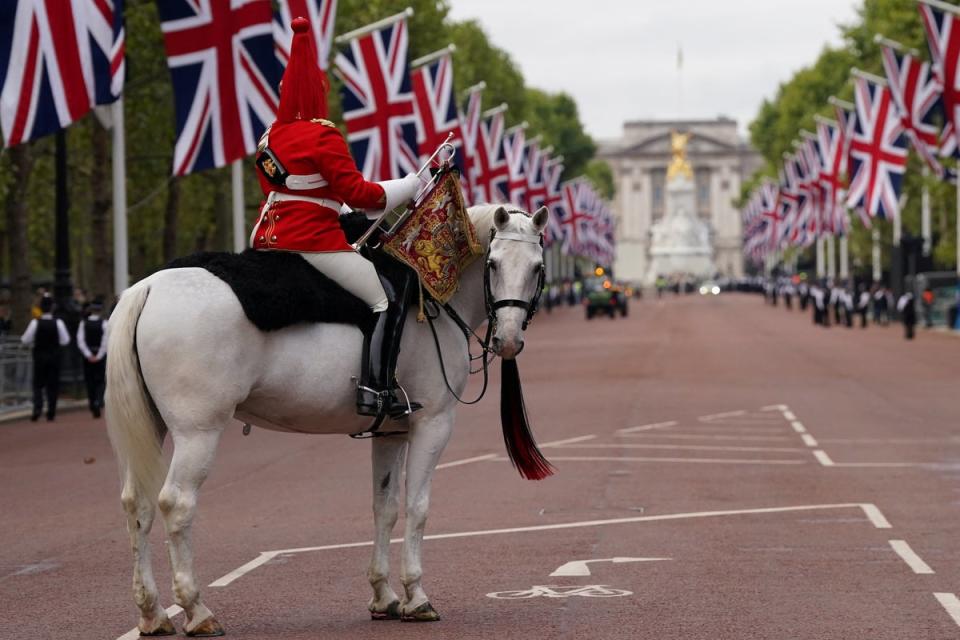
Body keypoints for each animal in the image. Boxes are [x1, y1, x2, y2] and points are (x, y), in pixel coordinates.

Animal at [107, 205, 548, 636]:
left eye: (537, 267)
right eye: (493, 263)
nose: (508, 341)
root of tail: (149, 287)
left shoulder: (391, 431)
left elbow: (385, 506)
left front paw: (384, 595)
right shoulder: (433, 424)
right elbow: (418, 507)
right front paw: (416, 596)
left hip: (154, 426)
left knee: (136, 503)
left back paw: (153, 613)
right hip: (199, 432)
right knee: (176, 504)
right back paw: (197, 610)